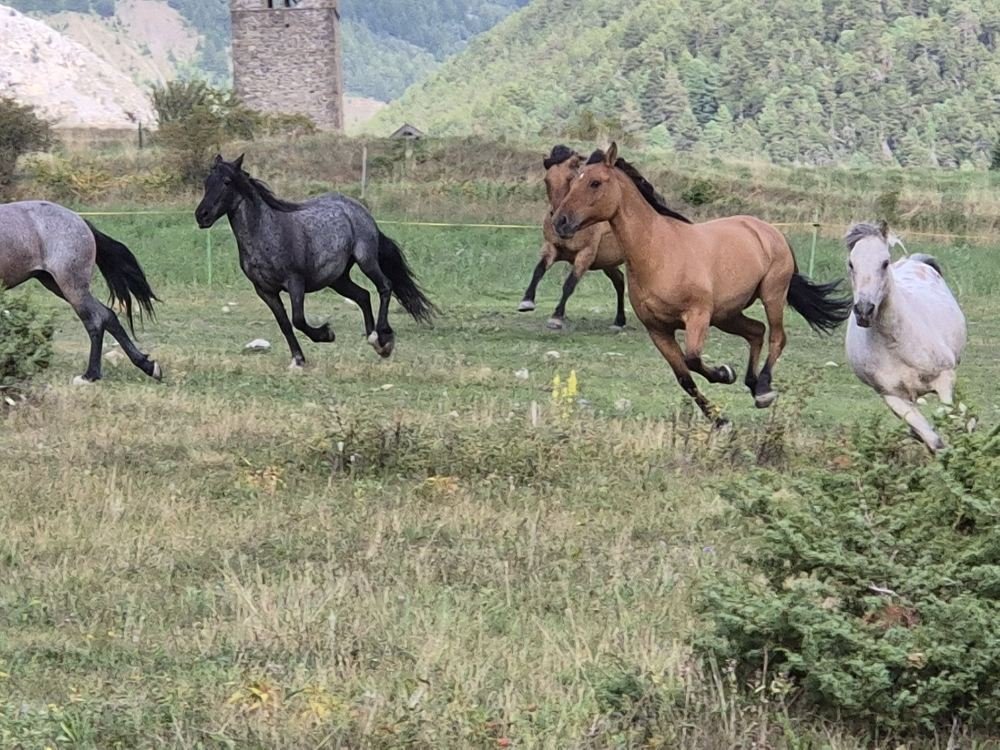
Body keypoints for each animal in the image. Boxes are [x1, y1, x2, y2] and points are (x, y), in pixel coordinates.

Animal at [0, 200, 160, 384]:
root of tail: (80, 220)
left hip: (72, 288)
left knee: (96, 320)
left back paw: (89, 376)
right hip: (56, 284)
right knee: (108, 315)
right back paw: (147, 366)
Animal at [195, 155, 435, 369]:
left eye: (227, 182)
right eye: (207, 182)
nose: (201, 215)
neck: (267, 232)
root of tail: (357, 209)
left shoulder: (295, 283)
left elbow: (298, 319)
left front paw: (326, 334)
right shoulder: (265, 290)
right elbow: (284, 324)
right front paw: (298, 360)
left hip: (366, 259)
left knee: (384, 286)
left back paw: (383, 339)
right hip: (337, 279)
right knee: (363, 295)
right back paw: (373, 339)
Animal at [517, 145, 627, 330]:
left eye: (570, 179)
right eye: (547, 180)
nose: (559, 222)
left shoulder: (585, 255)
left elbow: (569, 284)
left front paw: (556, 317)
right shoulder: (551, 247)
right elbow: (538, 270)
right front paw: (527, 301)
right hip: (607, 263)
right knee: (619, 281)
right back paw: (619, 321)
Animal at [552, 143, 851, 424]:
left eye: (595, 182)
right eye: (573, 180)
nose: (560, 222)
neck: (657, 251)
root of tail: (768, 230)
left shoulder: (698, 316)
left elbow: (693, 358)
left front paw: (724, 373)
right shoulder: (658, 330)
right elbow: (685, 377)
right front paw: (720, 420)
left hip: (771, 295)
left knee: (777, 336)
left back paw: (764, 389)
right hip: (726, 315)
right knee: (757, 331)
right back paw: (752, 383)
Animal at [844, 222, 966, 452]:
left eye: (884, 263)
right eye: (851, 263)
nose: (864, 310)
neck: (897, 342)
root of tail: (914, 261)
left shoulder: (945, 378)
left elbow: (950, 416)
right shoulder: (893, 397)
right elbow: (933, 439)